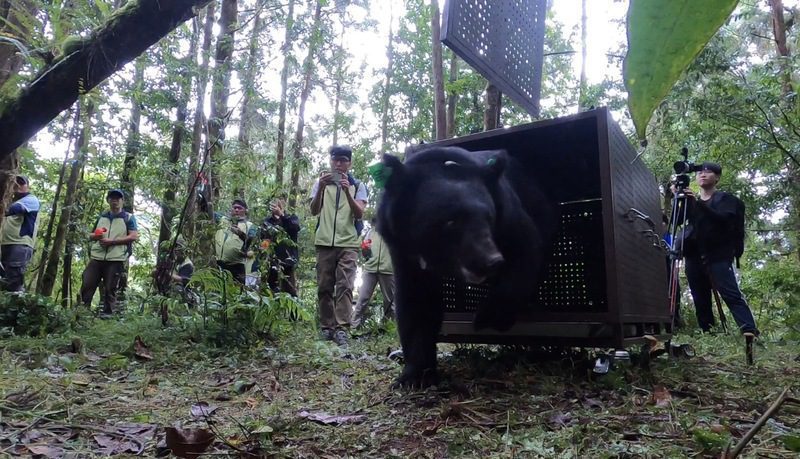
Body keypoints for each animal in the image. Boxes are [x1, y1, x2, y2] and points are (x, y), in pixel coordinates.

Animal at [376, 146, 556, 388]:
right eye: (450, 221)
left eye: (489, 217)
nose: (492, 261)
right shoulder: (402, 247)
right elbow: (417, 302)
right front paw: (414, 376)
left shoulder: (508, 210)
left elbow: (525, 250)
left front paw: (487, 317)